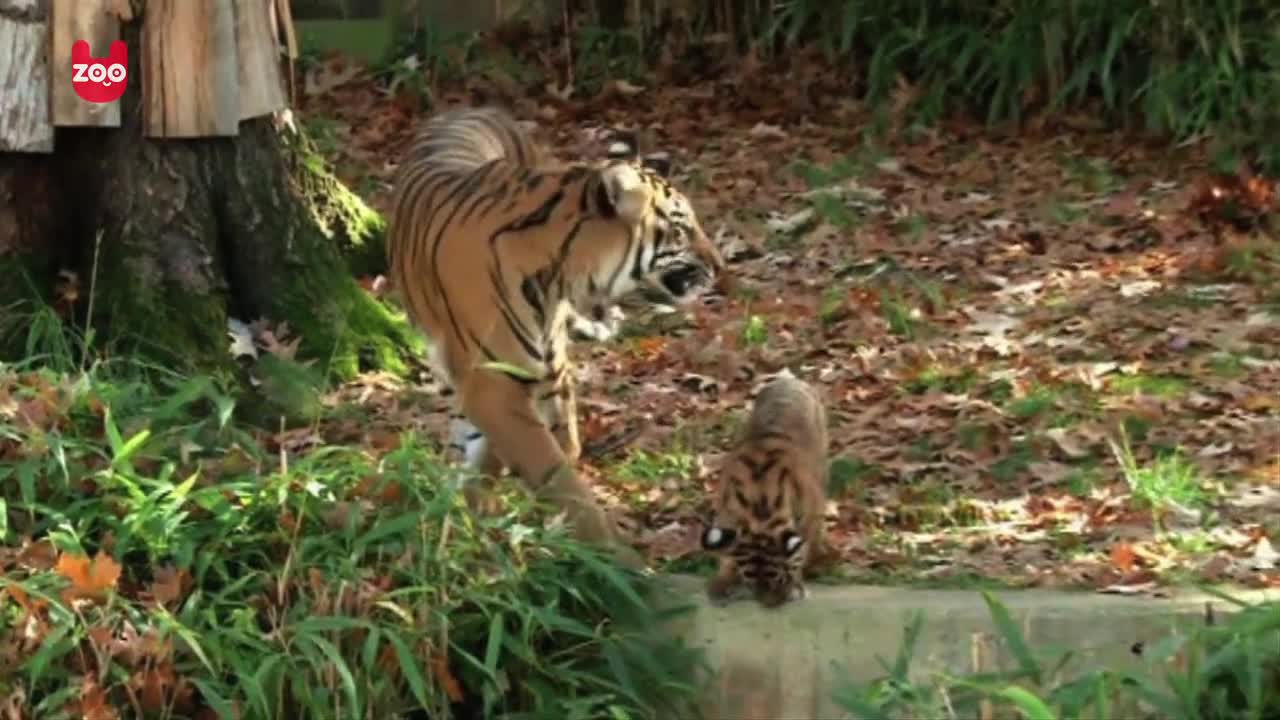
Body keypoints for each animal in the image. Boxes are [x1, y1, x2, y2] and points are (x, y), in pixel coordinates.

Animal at [389, 105, 727, 556]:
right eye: (680, 229)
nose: (721, 266)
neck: (555, 277)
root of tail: (472, 108)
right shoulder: (492, 382)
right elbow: (555, 475)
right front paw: (615, 557)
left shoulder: (547, 369)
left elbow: (559, 447)